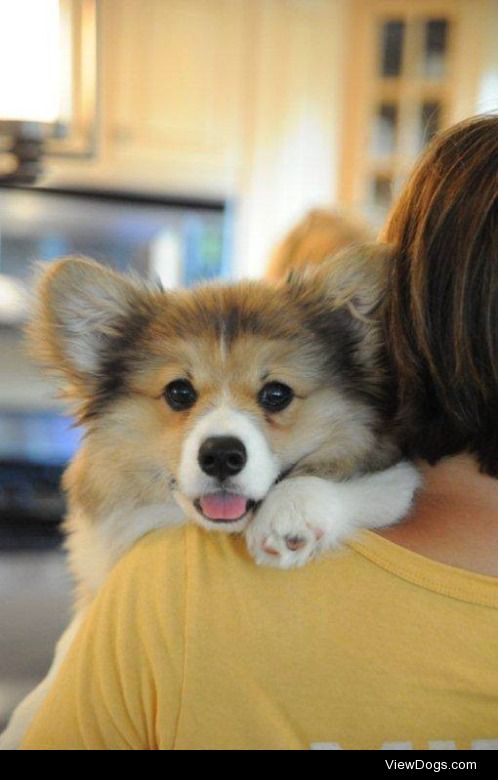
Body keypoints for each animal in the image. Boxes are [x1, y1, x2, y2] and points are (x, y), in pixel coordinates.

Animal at [0, 245, 418, 748]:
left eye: (276, 393)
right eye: (179, 392)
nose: (221, 455)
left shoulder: (398, 477)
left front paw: (289, 516)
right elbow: (70, 641)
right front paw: (27, 712)